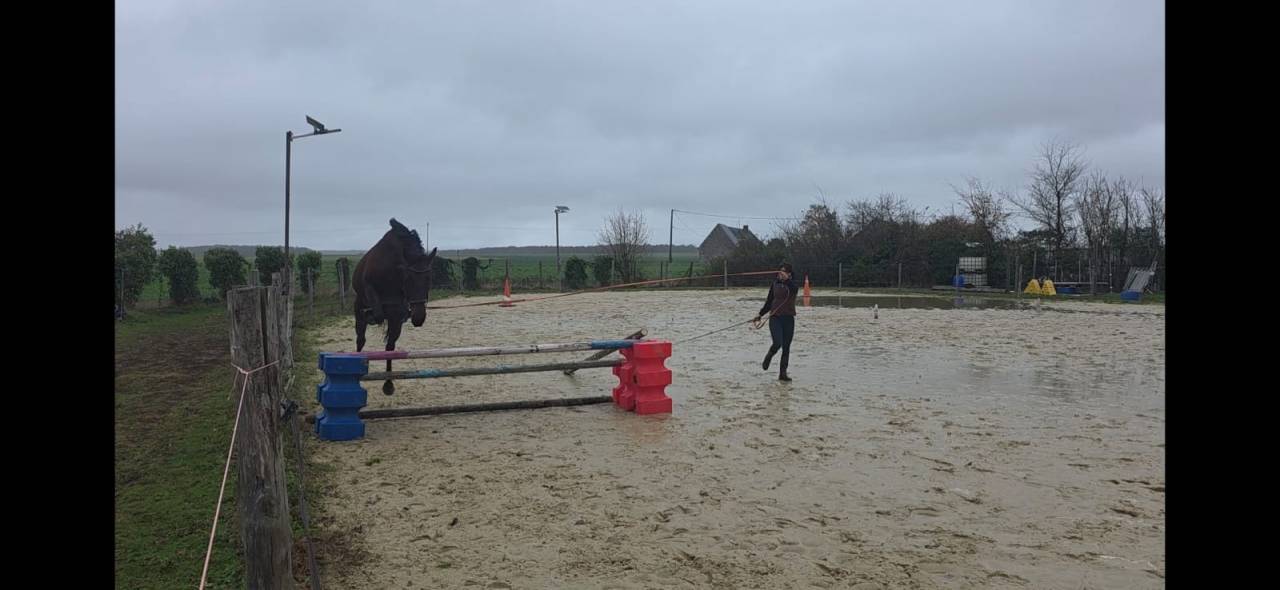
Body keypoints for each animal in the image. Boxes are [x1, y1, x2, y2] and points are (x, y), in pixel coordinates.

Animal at [353, 218, 438, 395]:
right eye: (408, 279)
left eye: (429, 278)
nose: (419, 318)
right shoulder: (368, 285)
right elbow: (377, 312)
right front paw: (373, 315)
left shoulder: (396, 315)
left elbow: (390, 343)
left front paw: (388, 385)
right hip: (358, 311)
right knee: (360, 340)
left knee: (389, 346)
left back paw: (388, 382)